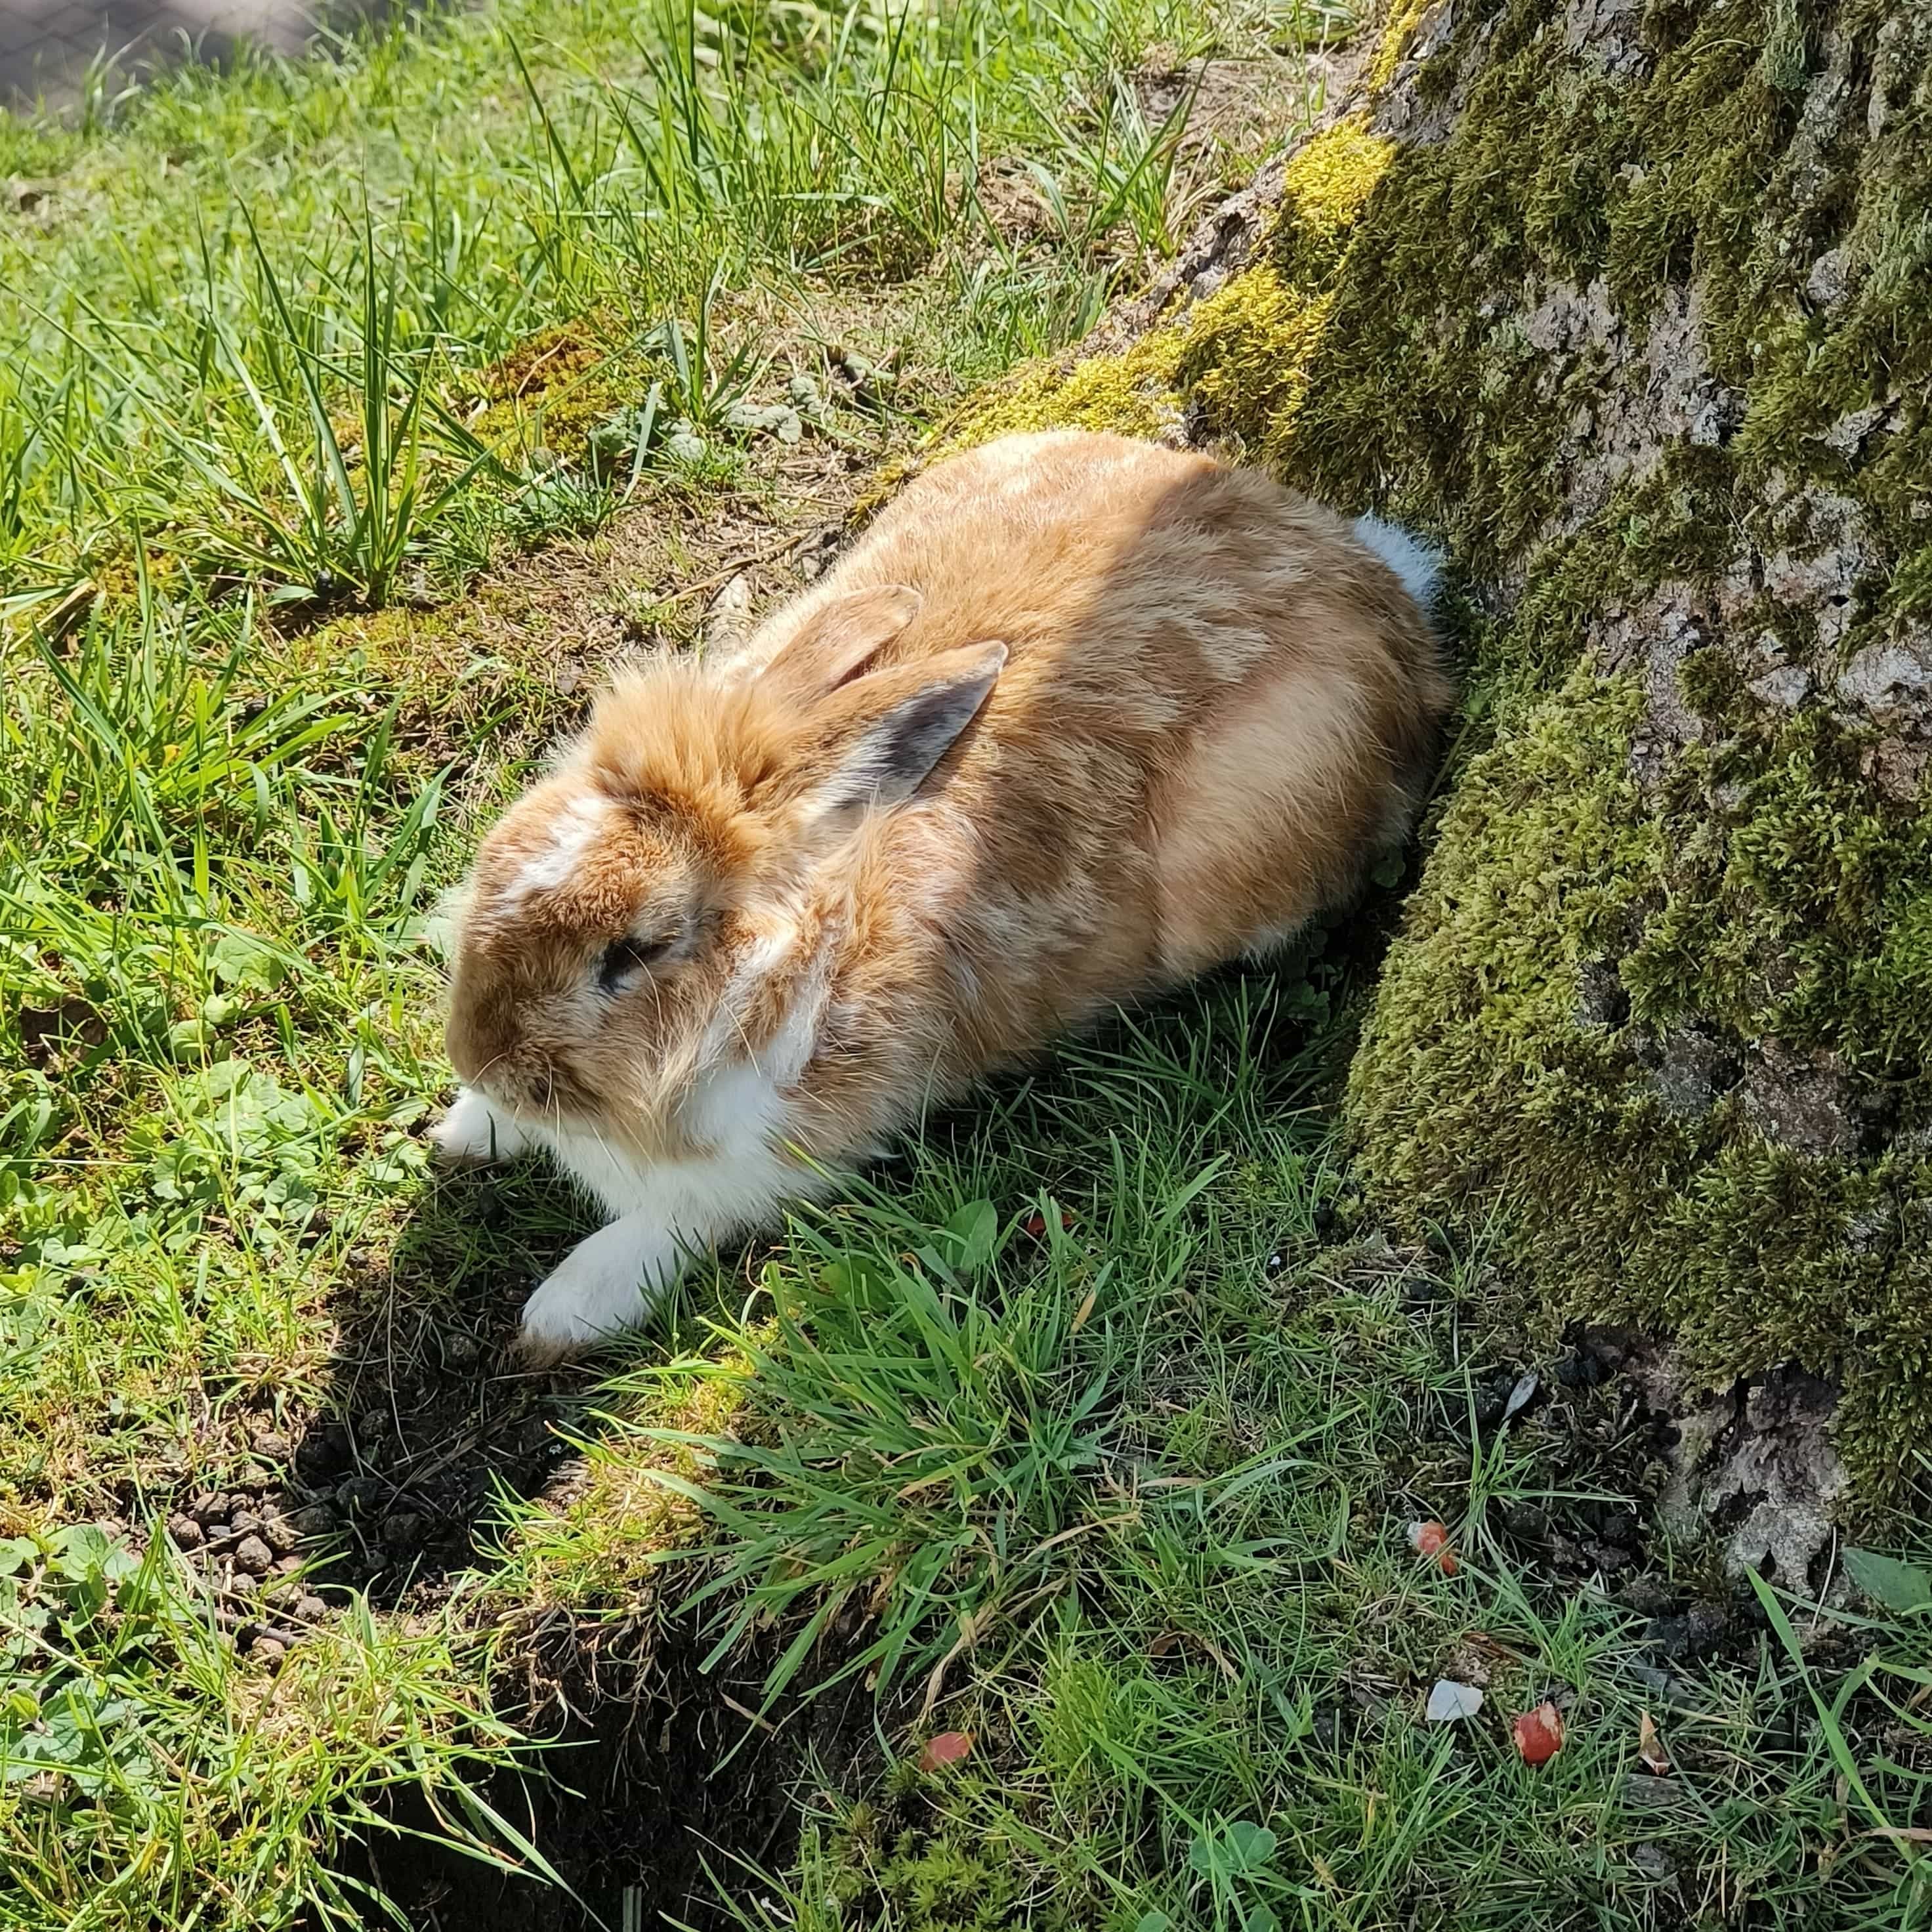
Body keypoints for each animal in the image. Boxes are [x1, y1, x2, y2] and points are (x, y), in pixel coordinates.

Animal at [432, 428, 1455, 1359]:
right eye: (497, 854)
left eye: (634, 951)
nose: (481, 1059)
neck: (792, 953)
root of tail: (1381, 587)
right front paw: (467, 1131)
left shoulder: (780, 1163)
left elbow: (669, 1226)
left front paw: (558, 1314)